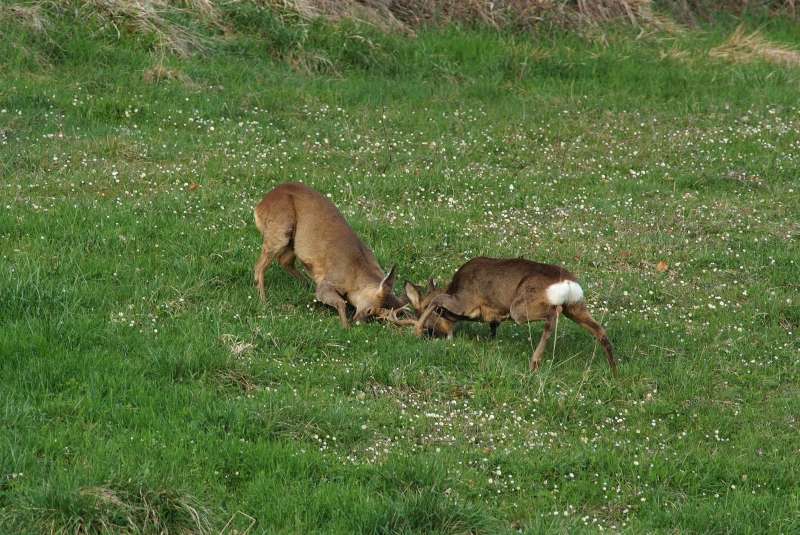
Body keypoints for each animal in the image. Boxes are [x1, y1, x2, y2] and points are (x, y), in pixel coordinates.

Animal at [253, 183, 404, 326]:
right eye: (370, 310)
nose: (359, 322)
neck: (357, 272)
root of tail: (259, 206)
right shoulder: (329, 281)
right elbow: (340, 302)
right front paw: (345, 327)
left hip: (292, 242)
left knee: (284, 261)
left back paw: (306, 286)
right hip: (280, 229)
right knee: (259, 267)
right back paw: (264, 300)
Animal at [406, 258, 620, 374]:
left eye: (419, 308)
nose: (431, 333)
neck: (454, 286)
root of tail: (567, 283)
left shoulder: (465, 301)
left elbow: (437, 299)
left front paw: (416, 330)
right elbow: (493, 326)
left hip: (520, 307)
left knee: (552, 315)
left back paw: (534, 362)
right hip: (576, 306)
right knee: (600, 330)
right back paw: (614, 369)